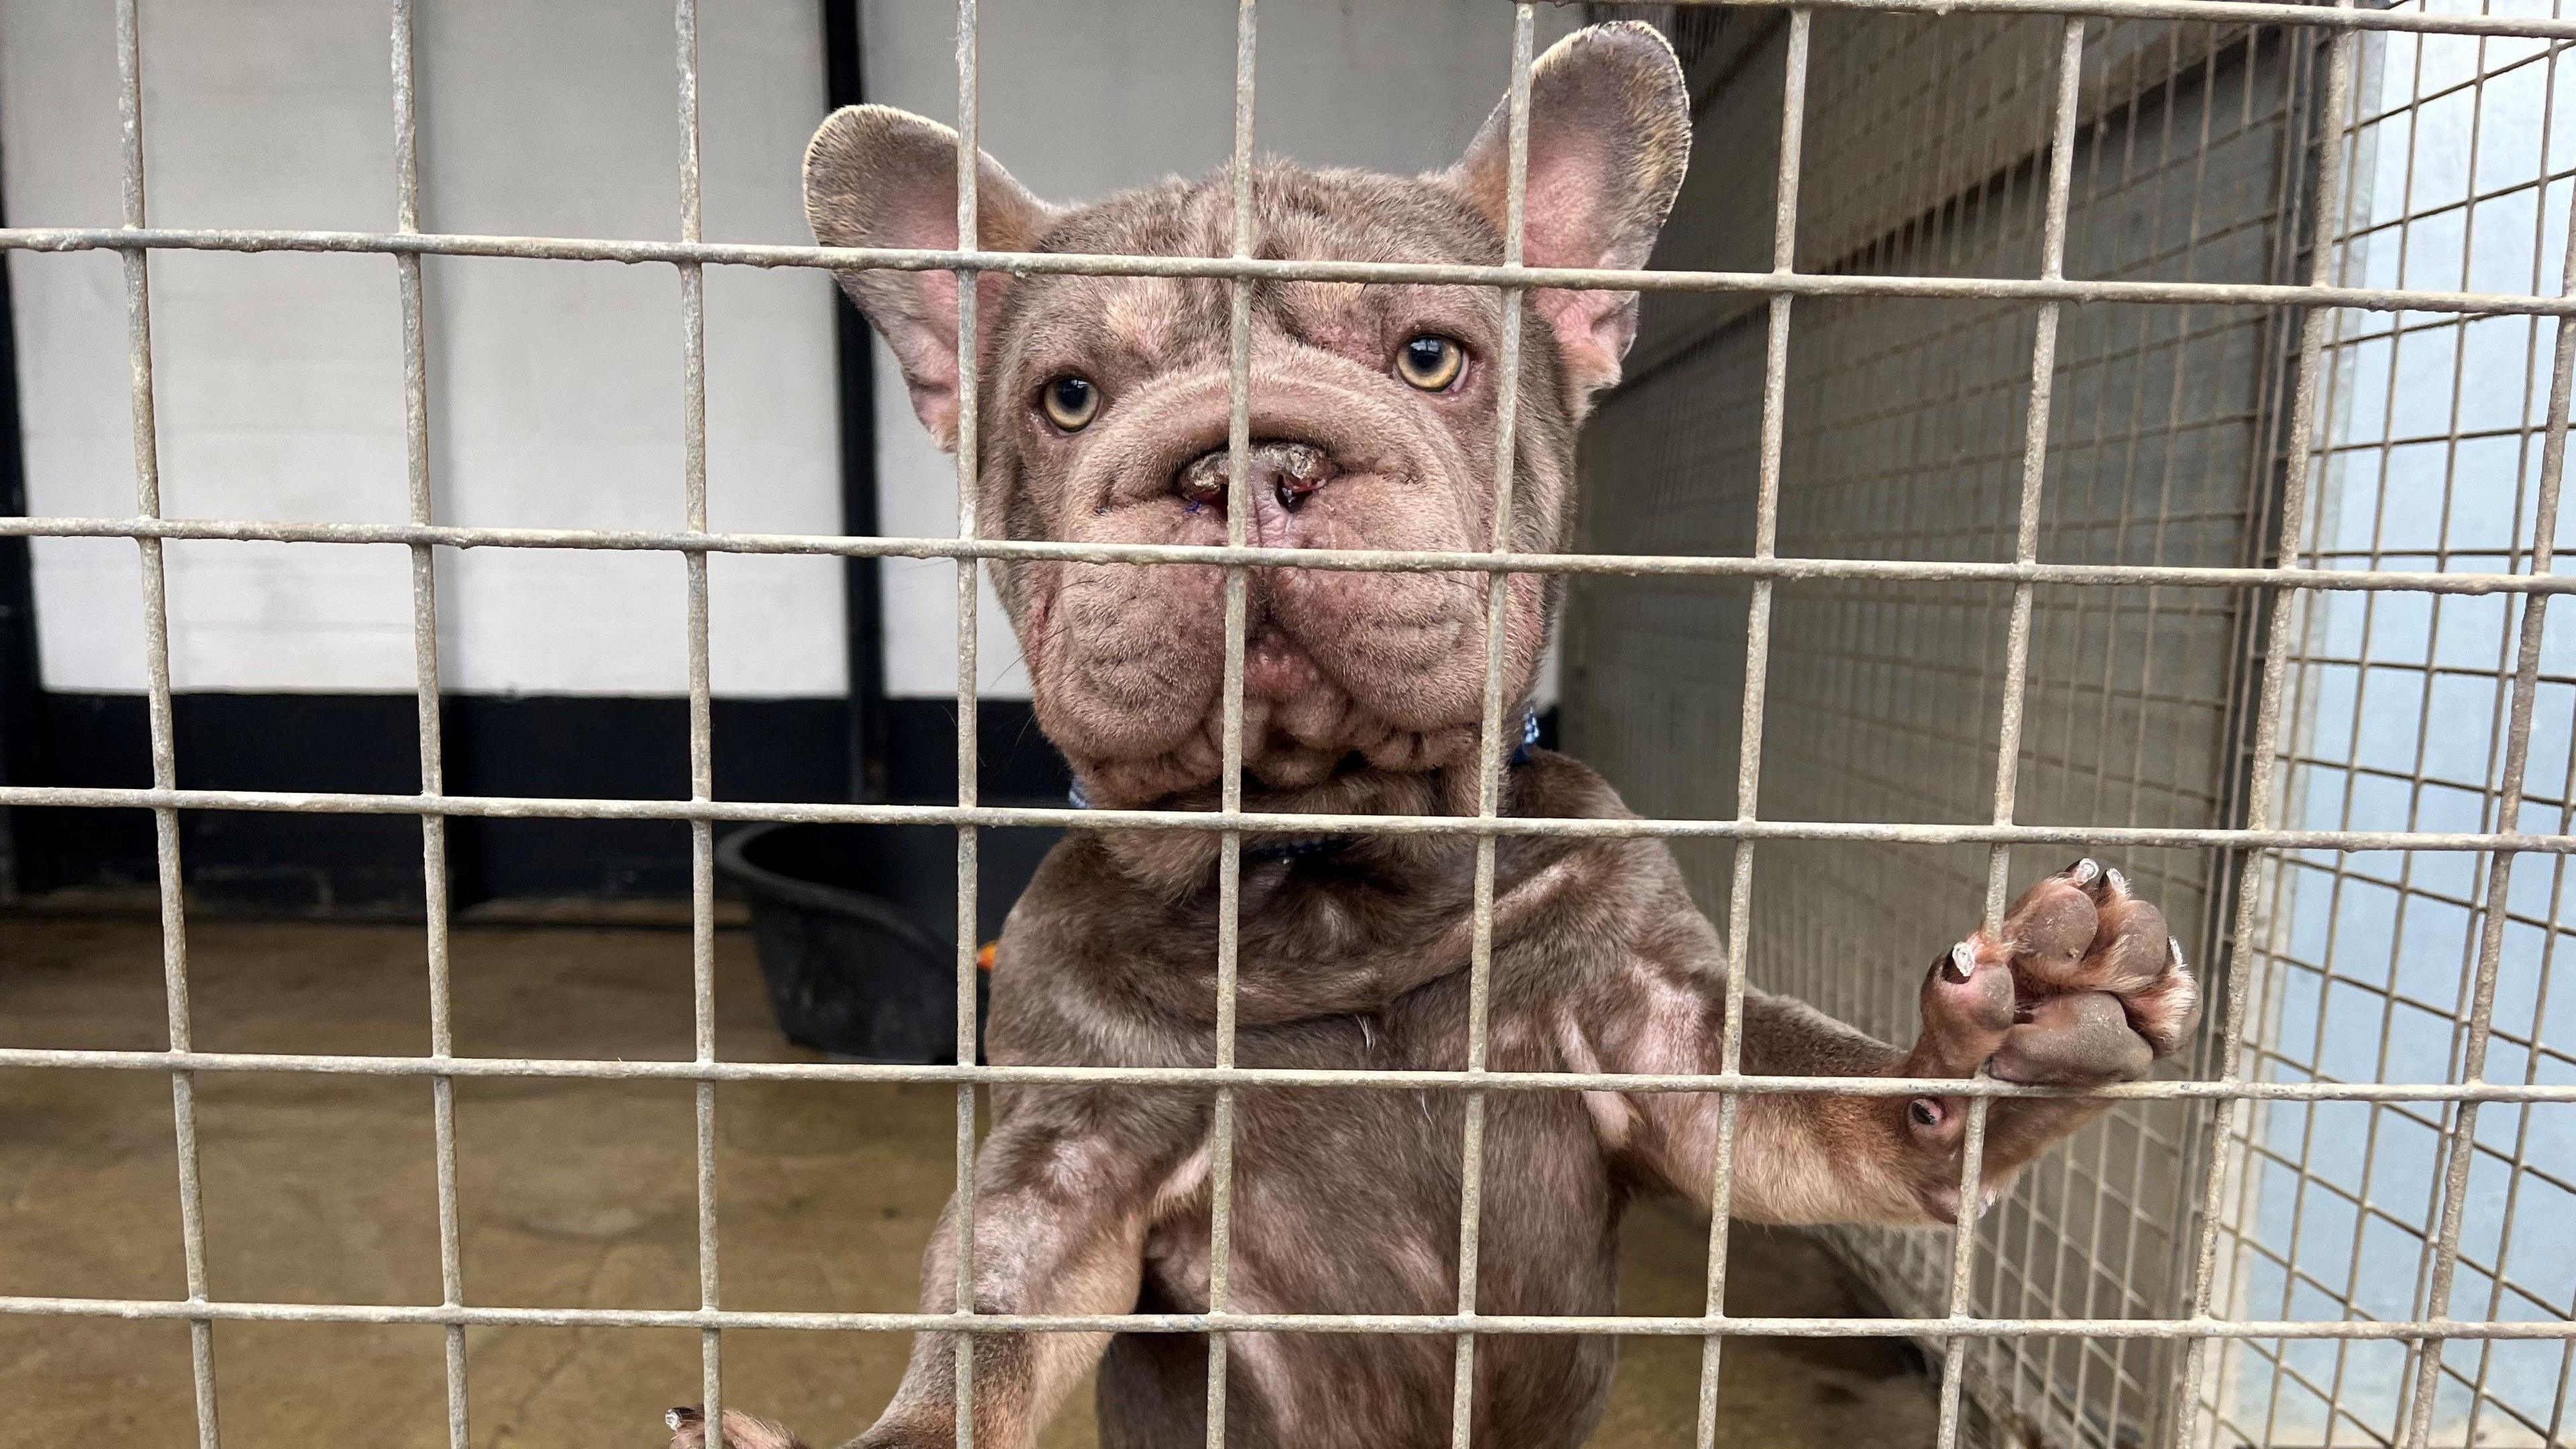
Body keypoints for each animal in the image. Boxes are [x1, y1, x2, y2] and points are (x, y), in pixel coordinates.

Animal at [675, 22, 2205, 1444]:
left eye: (1429, 360)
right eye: (1069, 398)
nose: (1247, 459)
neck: (1329, 869)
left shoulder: (1662, 1034)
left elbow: (1821, 1106)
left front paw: (2006, 1050)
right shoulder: (1074, 1153)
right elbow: (991, 1310)